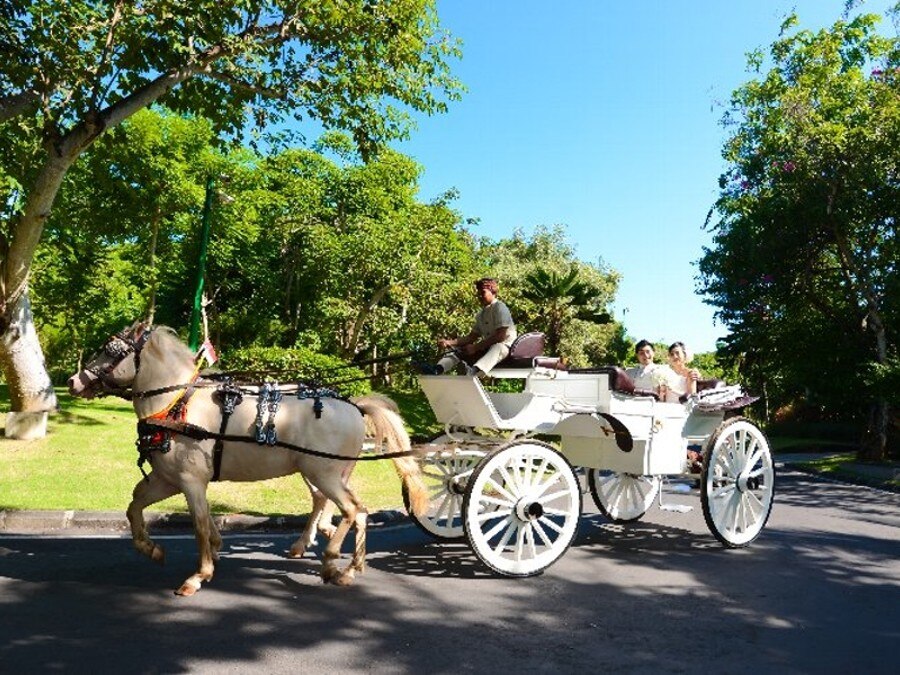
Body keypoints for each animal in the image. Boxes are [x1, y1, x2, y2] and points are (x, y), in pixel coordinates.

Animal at [68, 324, 428, 596]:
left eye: (111, 349)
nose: (73, 382)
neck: (177, 403)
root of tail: (355, 406)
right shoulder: (167, 479)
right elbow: (135, 506)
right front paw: (154, 549)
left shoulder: (190, 480)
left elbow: (199, 524)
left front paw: (199, 574)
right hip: (327, 472)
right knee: (345, 508)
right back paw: (349, 564)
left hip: (323, 472)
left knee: (353, 509)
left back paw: (330, 562)